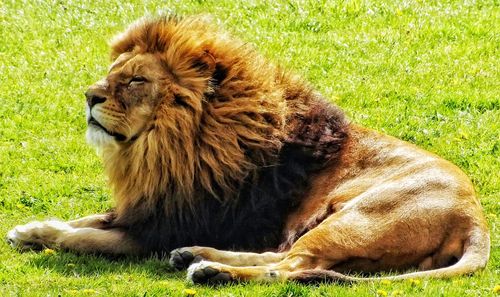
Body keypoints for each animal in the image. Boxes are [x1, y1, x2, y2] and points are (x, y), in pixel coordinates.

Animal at [6, 15, 488, 282]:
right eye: (112, 74)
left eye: (136, 80)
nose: (89, 96)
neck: (171, 147)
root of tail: (476, 222)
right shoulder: (154, 207)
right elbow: (86, 219)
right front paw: (30, 230)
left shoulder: (164, 226)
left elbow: (88, 237)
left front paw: (50, 236)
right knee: (286, 255)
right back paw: (194, 256)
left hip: (359, 218)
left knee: (292, 266)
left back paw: (210, 271)